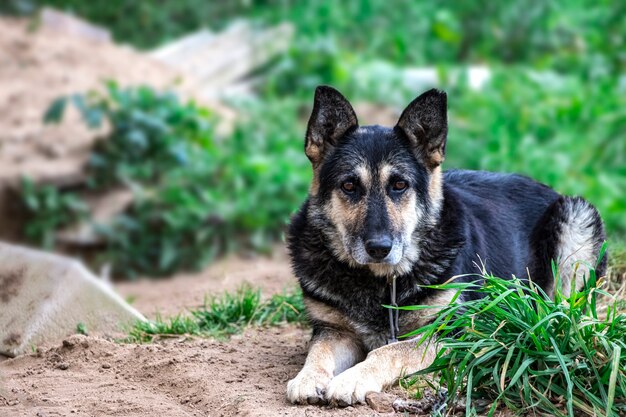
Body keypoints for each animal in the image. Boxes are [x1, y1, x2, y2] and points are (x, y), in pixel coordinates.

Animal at [286, 86, 604, 404]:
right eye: (349, 186)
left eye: (399, 185)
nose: (378, 248)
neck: (382, 282)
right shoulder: (334, 331)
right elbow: (319, 352)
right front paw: (307, 377)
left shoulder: (455, 331)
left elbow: (387, 350)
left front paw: (352, 378)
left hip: (576, 219)